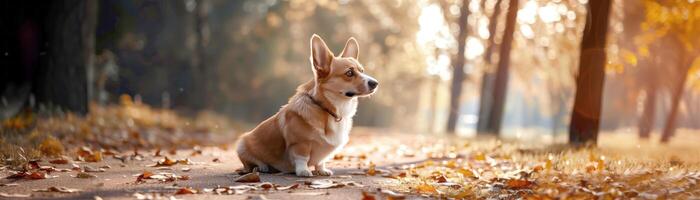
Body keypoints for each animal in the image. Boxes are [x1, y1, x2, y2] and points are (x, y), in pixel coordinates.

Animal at [235, 34, 378, 177]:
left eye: (362, 71)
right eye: (349, 73)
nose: (375, 83)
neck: (328, 109)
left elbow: (321, 161)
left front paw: (322, 170)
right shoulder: (300, 144)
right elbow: (302, 158)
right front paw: (303, 171)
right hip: (242, 145)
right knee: (251, 163)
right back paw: (262, 167)